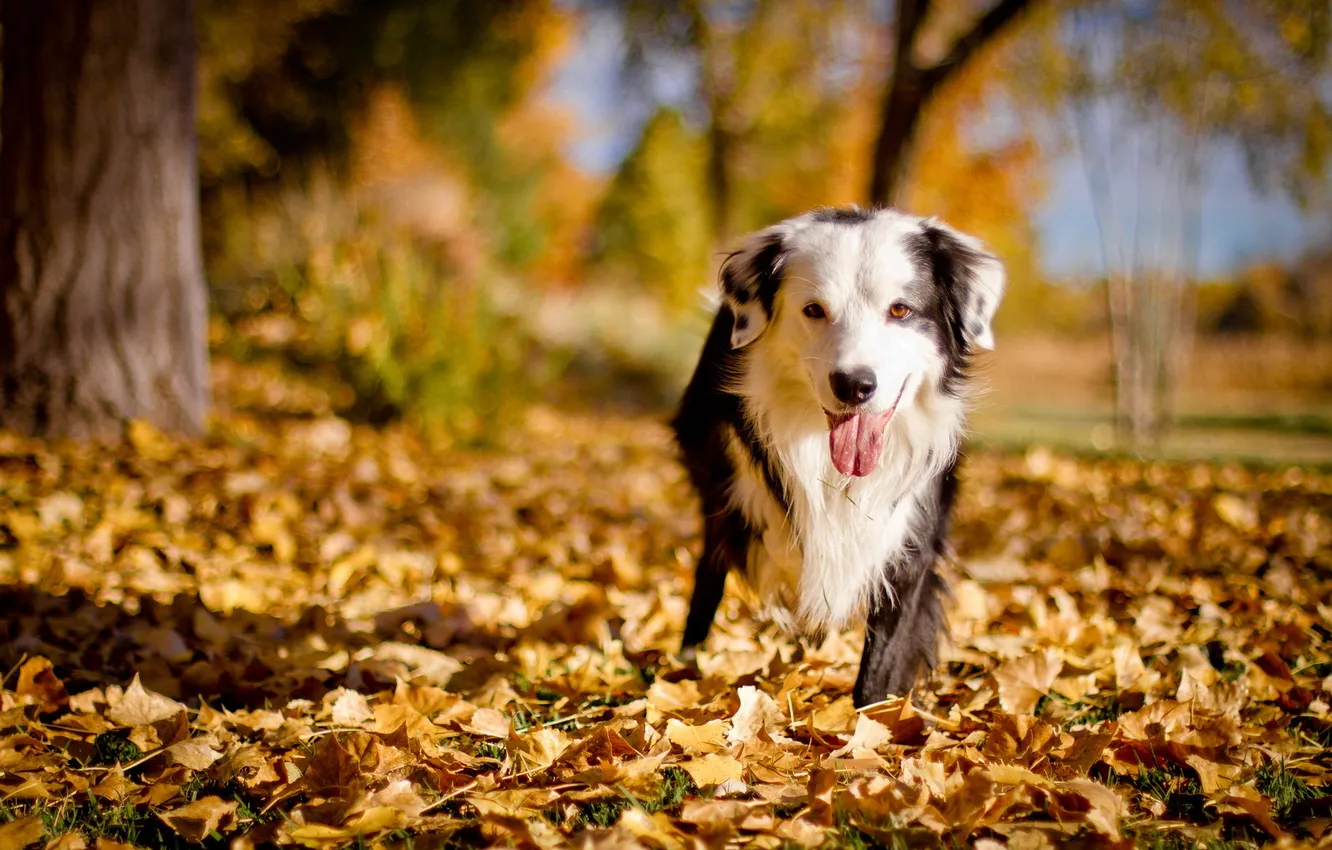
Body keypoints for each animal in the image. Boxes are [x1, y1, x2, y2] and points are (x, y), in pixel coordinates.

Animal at [671, 210, 1001, 708]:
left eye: (900, 310)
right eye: (814, 310)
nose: (854, 385)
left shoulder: (911, 537)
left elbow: (883, 657)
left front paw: (872, 720)